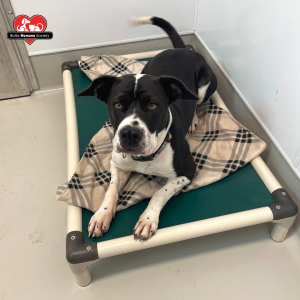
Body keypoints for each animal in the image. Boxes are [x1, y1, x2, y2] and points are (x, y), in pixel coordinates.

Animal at [77, 17, 217, 241]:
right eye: (117, 104)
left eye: (152, 106)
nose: (129, 134)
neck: (145, 158)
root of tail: (180, 49)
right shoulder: (117, 165)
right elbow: (111, 190)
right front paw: (102, 215)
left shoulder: (187, 171)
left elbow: (160, 192)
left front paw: (147, 219)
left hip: (205, 86)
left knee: (197, 101)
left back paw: (194, 119)